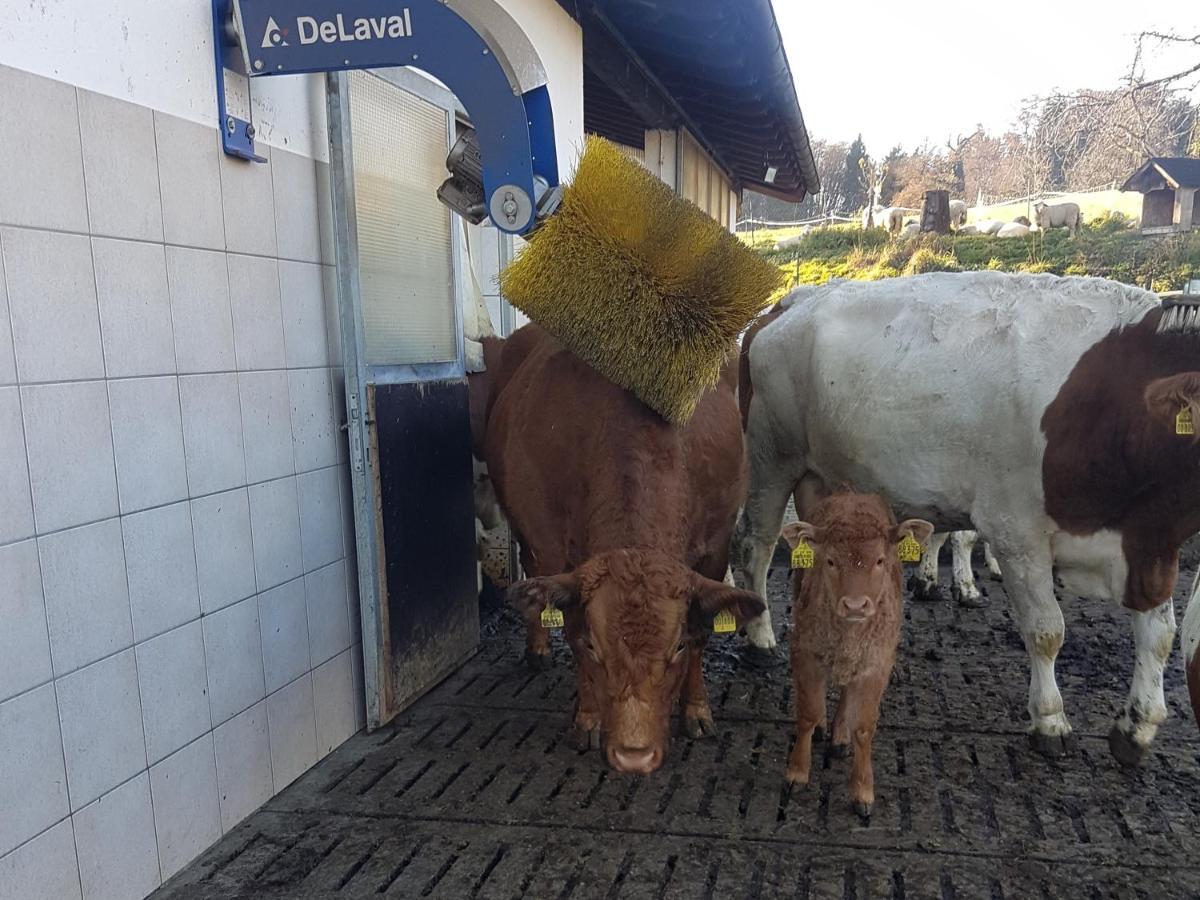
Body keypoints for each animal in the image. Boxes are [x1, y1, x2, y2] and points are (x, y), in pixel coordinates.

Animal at [482, 324, 763, 777]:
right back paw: (538, 647)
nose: (635, 755)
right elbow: (571, 629)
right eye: (598, 648)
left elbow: (705, 632)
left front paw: (696, 710)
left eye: (677, 646)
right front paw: (587, 719)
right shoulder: (552, 548)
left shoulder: (717, 544)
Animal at [729, 271, 1200, 763]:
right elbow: (1047, 630)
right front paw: (1050, 719)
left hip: (819, 478)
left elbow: (1160, 635)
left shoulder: (1150, 543)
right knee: (755, 545)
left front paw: (1138, 725)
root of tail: (788, 302)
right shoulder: (1017, 531)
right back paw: (760, 638)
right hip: (771, 456)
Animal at [777, 496, 936, 820]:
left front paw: (863, 792)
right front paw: (797, 773)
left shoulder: (876, 664)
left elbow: (863, 727)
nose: (855, 605)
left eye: (880, 561)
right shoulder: (804, 652)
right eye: (830, 561)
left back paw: (840, 735)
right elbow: (807, 714)